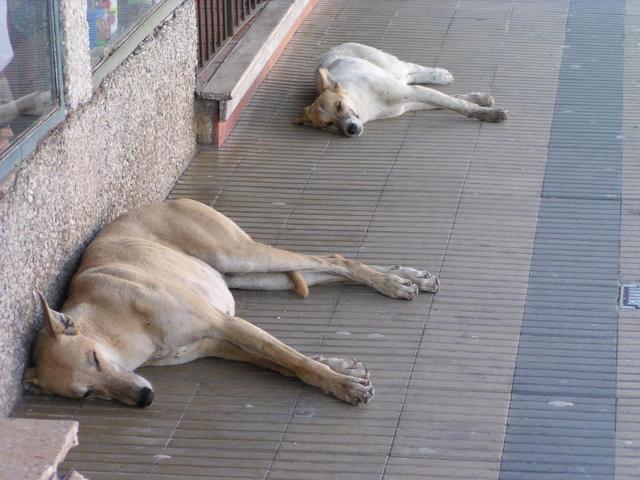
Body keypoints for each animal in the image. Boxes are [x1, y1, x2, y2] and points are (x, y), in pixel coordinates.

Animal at [296, 42, 510, 136]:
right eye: (328, 125)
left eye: (339, 105)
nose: (352, 130)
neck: (366, 106)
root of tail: (333, 48)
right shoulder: (408, 103)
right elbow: (453, 100)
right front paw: (480, 100)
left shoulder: (411, 93)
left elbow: (456, 104)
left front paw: (490, 114)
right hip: (395, 77)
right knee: (409, 77)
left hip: (390, 66)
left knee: (410, 69)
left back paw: (440, 75)